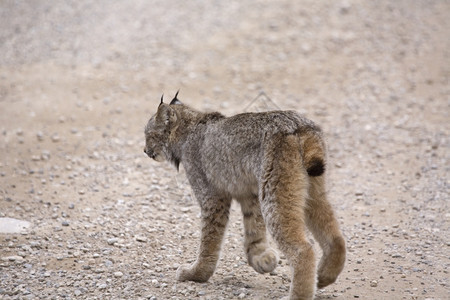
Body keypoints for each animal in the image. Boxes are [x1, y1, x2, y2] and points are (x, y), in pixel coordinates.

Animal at [142, 92, 346, 300]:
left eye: (148, 135)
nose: (145, 150)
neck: (189, 125)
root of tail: (298, 124)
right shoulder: (250, 193)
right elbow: (253, 228)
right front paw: (262, 259)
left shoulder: (212, 197)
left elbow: (209, 240)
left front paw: (196, 274)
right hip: (310, 188)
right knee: (336, 237)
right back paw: (323, 276)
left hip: (274, 192)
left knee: (304, 250)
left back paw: (297, 295)